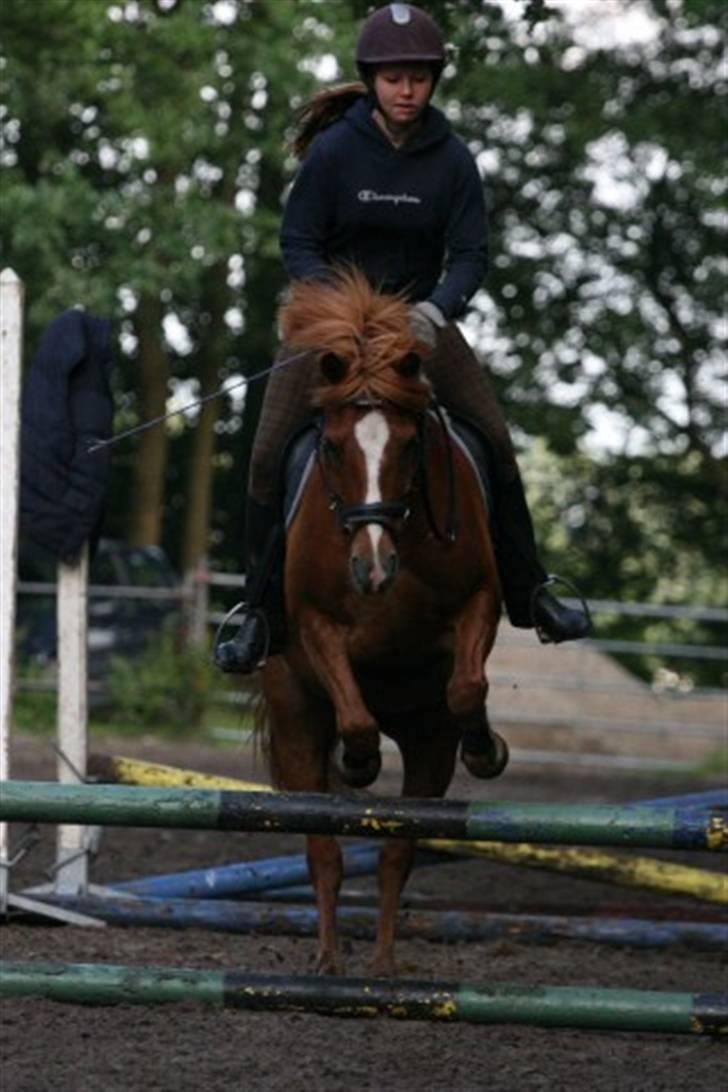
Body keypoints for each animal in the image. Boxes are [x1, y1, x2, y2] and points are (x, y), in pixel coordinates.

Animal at [261, 270, 506, 974]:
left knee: (399, 848)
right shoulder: (314, 625)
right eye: (332, 445)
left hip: (426, 745)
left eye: (410, 443)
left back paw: (383, 965)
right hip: (294, 722)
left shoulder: (480, 599)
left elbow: (466, 687)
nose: (373, 568)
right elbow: (355, 716)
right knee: (322, 847)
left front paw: (485, 746)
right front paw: (360, 761)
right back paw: (328, 960)